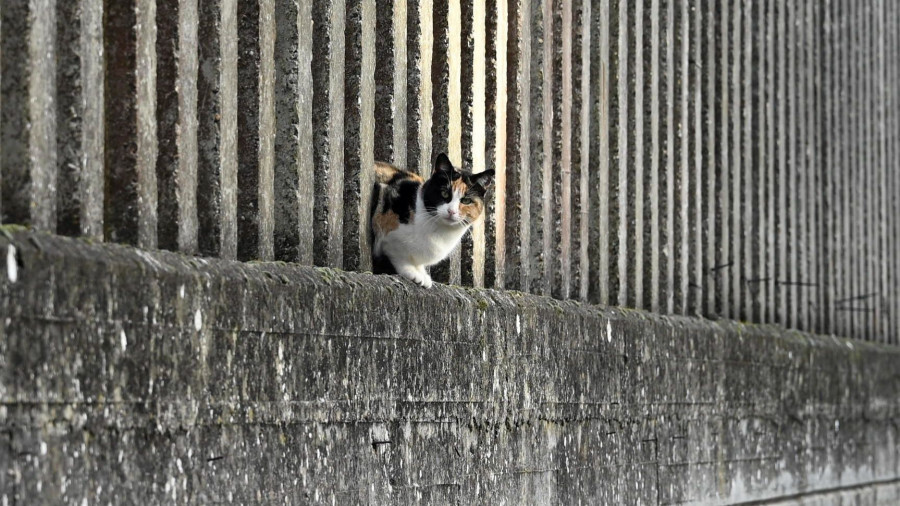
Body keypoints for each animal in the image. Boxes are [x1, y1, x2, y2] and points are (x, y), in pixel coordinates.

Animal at [372, 154, 500, 286]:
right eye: (444, 193)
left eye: (466, 201)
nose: (451, 211)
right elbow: (399, 253)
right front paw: (413, 272)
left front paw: (422, 273)